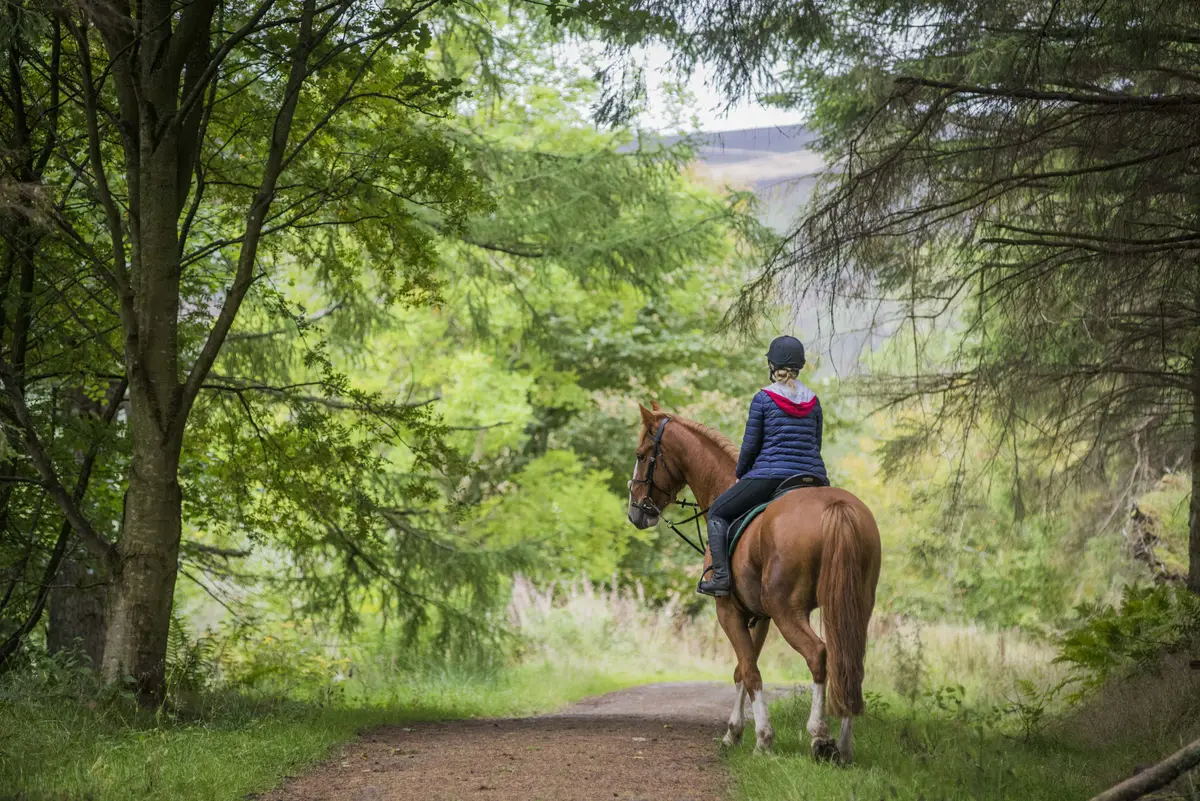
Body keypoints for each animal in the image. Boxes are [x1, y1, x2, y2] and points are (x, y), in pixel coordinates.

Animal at [628, 402, 883, 762]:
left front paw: (762, 738)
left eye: (641, 454)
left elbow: (749, 671)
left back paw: (820, 736)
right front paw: (734, 733)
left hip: (788, 610)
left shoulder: (729, 611)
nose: (635, 510)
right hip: (853, 607)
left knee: (818, 654)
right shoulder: (759, 616)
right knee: (849, 660)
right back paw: (845, 747)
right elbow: (742, 669)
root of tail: (837, 506)